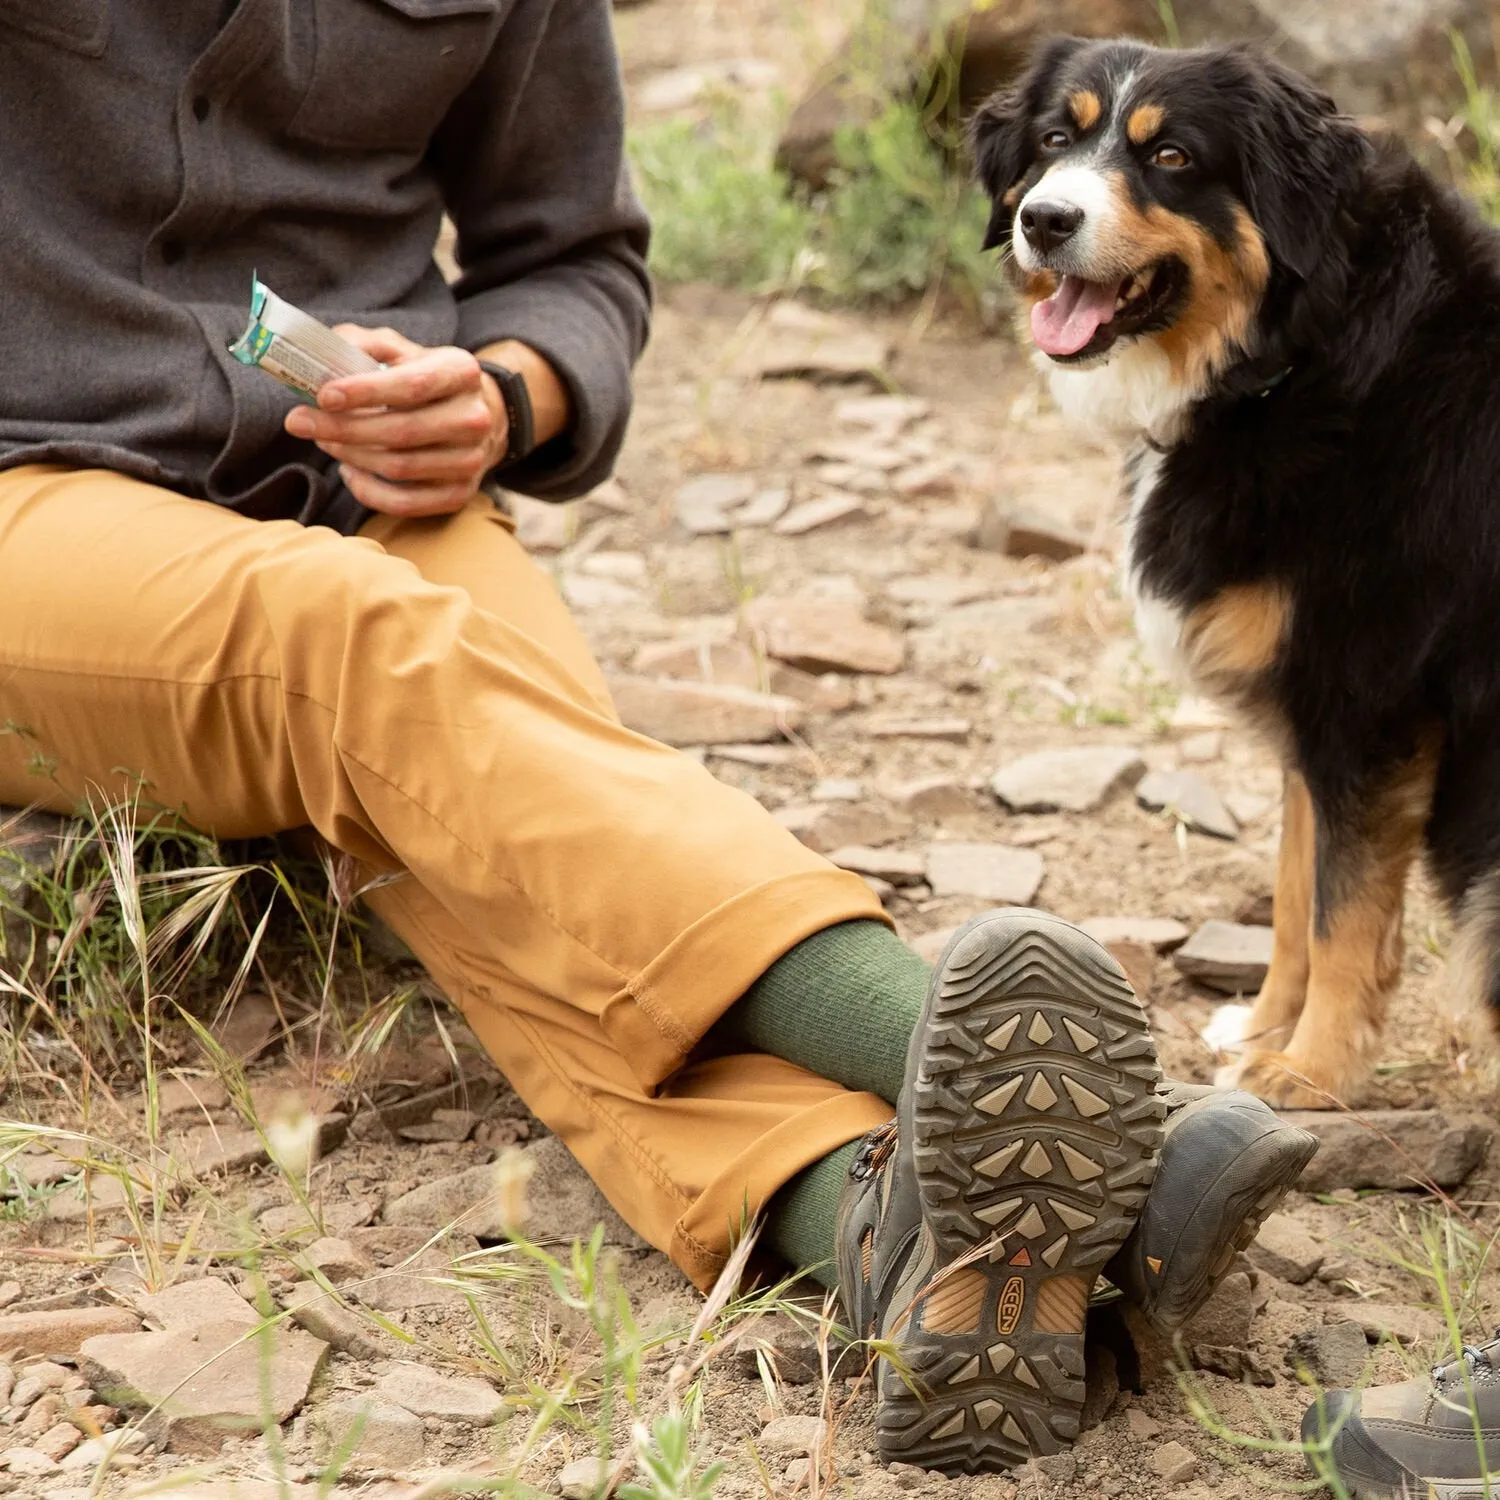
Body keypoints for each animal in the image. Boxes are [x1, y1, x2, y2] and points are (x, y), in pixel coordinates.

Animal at [972, 38, 1500, 1116]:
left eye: (1171, 156)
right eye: (1051, 141)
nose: (1045, 220)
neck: (1297, 355)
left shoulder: (1369, 700)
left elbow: (1345, 914)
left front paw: (1309, 1073)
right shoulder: (1310, 708)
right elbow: (1299, 893)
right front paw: (1263, 1032)